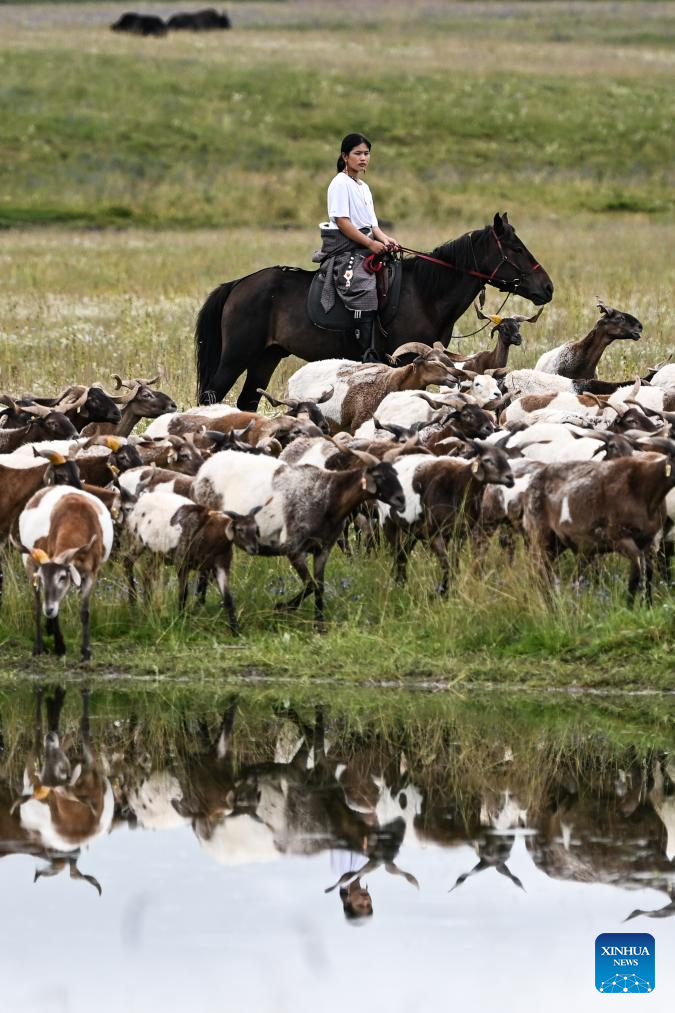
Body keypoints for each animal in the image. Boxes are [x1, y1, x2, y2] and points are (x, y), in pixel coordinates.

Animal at [18, 488, 113, 660]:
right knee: (37, 605)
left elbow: (85, 612)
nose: (48, 610)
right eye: (42, 579)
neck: (77, 517)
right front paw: (59, 647)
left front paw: (86, 652)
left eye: (62, 577)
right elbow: (51, 609)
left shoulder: (91, 573)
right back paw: (40, 646)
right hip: (28, 562)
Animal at [123, 492, 259, 632]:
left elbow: (228, 598)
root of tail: (139, 501)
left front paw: (235, 630)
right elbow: (183, 593)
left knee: (147, 574)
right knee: (127, 562)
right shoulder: (181, 562)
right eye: (239, 529)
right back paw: (133, 602)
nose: (255, 549)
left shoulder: (220, 566)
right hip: (136, 541)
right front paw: (180, 619)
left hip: (156, 553)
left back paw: (147, 605)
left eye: (256, 528)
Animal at [189, 447, 401, 619]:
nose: (401, 499)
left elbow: (319, 586)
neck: (329, 496)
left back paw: (200, 604)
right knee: (203, 571)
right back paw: (198, 605)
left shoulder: (323, 549)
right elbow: (310, 585)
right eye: (380, 477)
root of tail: (203, 470)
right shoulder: (293, 547)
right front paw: (282, 608)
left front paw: (319, 624)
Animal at [194, 211, 551, 409]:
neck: (425, 292)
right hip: (236, 355)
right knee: (211, 396)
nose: (547, 288)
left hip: (266, 357)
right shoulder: (406, 359)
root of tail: (238, 284)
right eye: (516, 248)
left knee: (247, 401)